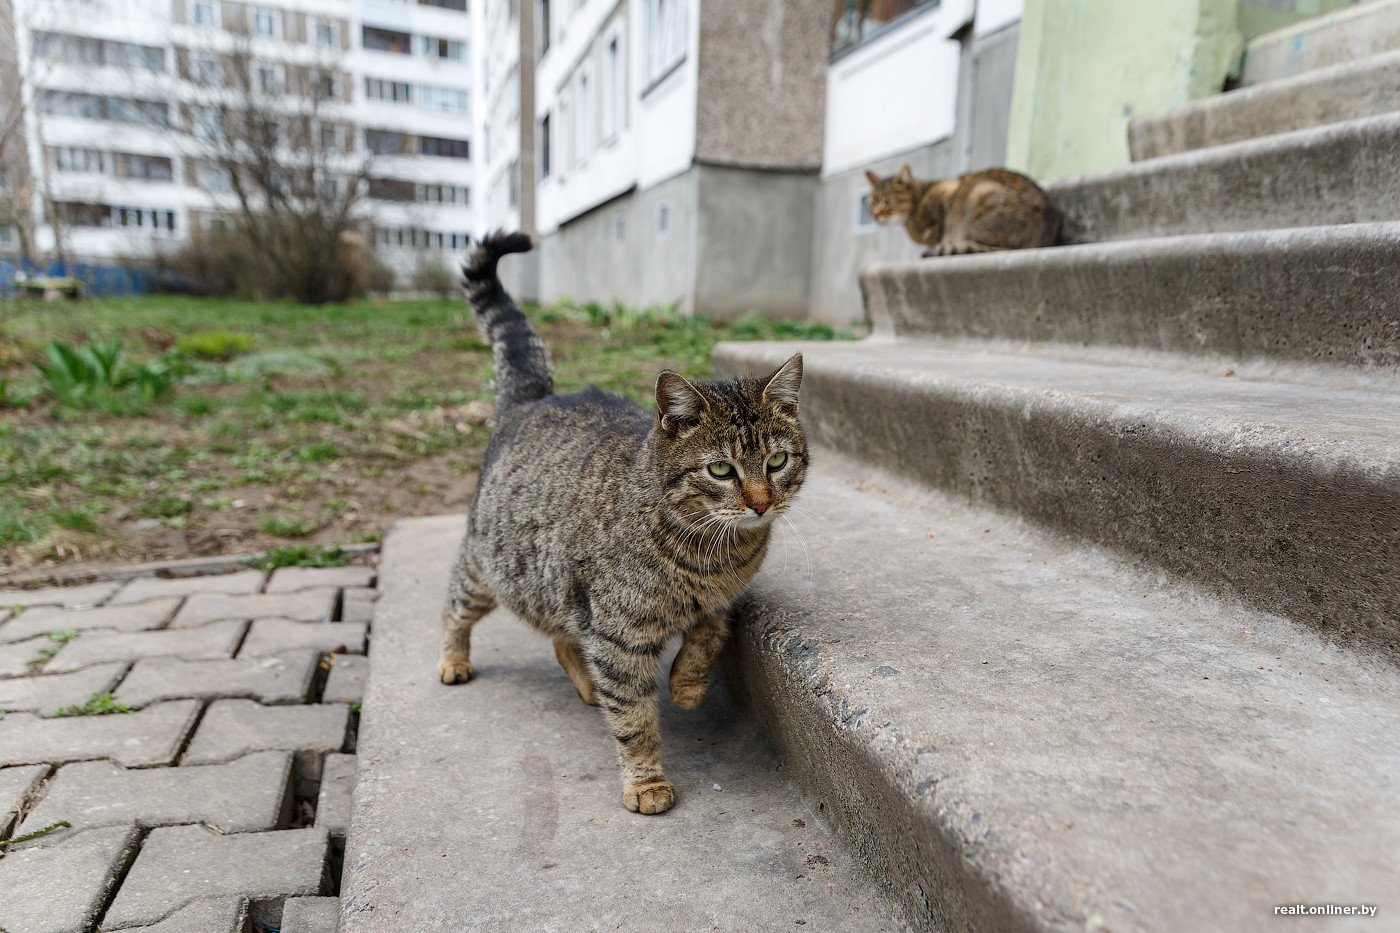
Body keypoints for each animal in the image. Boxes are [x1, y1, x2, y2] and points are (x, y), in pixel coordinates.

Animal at [436, 231, 812, 812]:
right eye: (721, 469)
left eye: (776, 461)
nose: (760, 504)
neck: (713, 555)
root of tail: (532, 397)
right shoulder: (618, 635)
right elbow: (635, 718)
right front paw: (646, 782)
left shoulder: (720, 601)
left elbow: (709, 634)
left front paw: (686, 686)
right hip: (491, 567)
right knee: (456, 607)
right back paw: (453, 660)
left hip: (560, 587)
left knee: (563, 637)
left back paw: (589, 686)